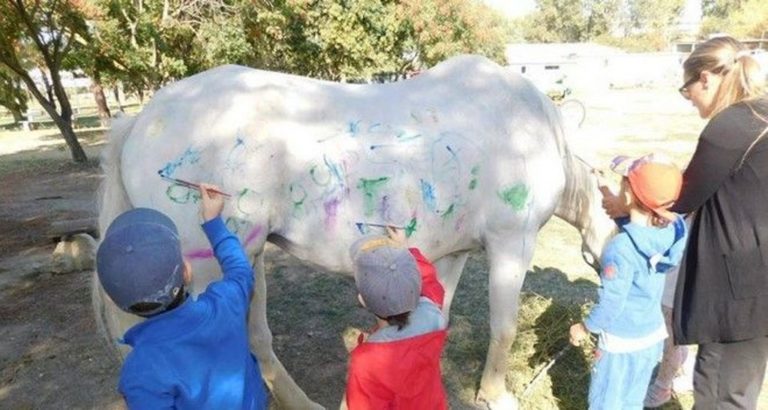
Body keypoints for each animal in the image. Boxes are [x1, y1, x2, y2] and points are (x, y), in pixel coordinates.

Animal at [93, 55, 616, 410]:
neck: (533, 129)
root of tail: (142, 118)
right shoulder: (512, 243)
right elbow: (504, 327)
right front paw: (494, 394)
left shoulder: (454, 254)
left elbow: (440, 316)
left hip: (247, 258)